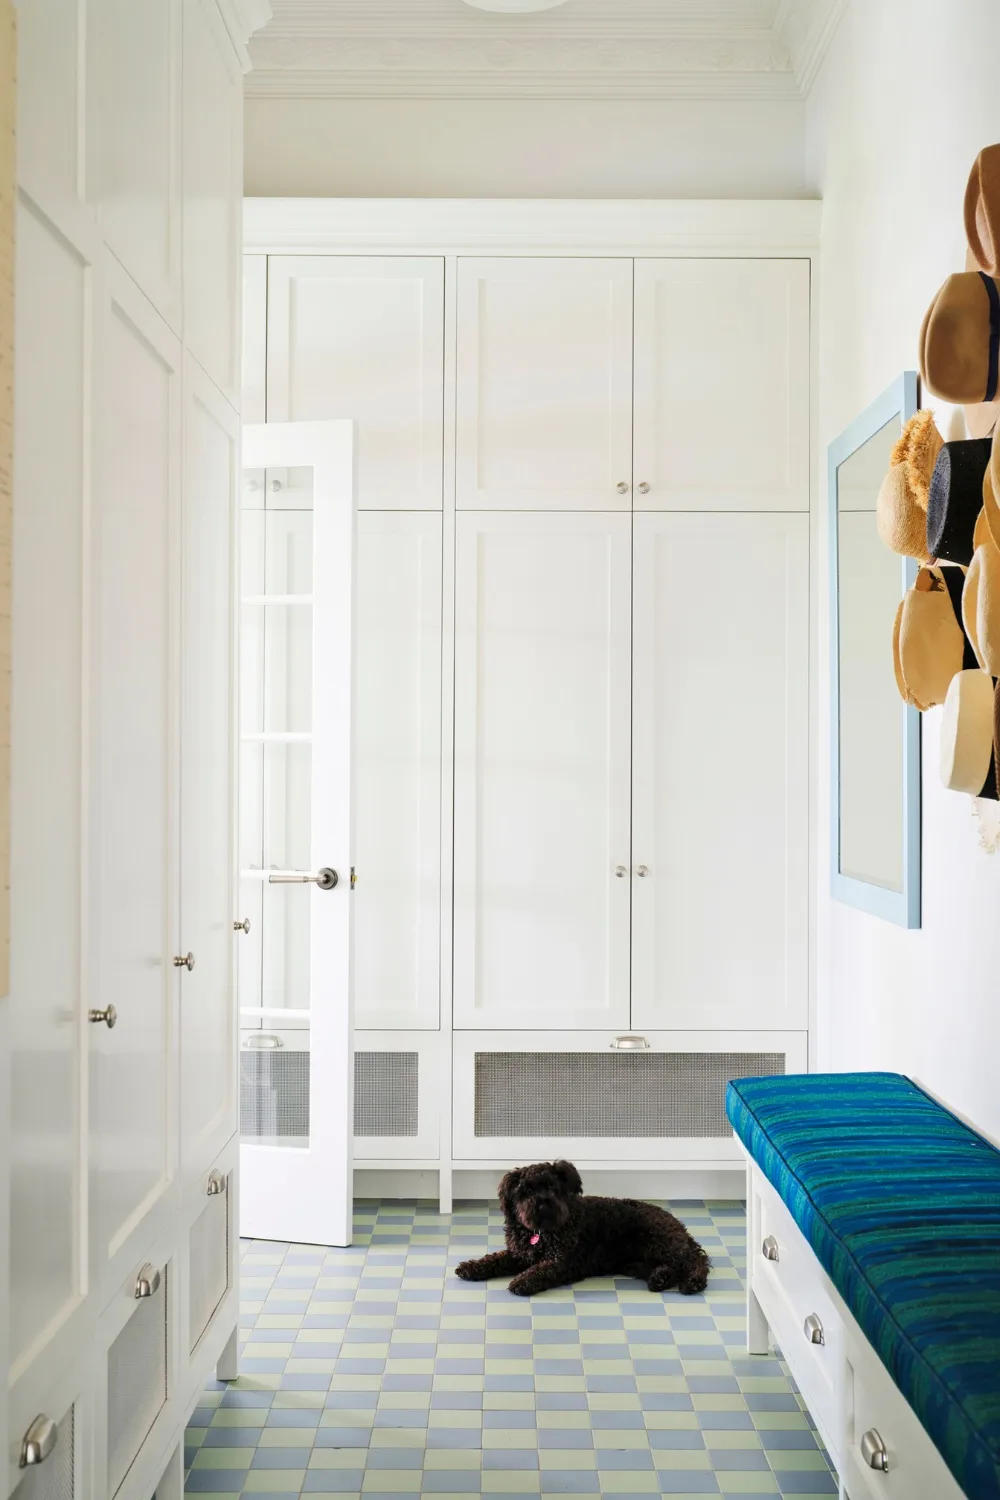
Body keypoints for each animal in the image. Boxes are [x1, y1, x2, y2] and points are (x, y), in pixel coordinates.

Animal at [452, 1164, 710, 1296]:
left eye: (551, 1186)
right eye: (526, 1190)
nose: (543, 1202)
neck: (541, 1233)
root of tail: (683, 1230)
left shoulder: (561, 1261)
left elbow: (540, 1270)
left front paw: (522, 1281)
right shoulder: (520, 1254)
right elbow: (494, 1259)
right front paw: (471, 1267)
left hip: (657, 1242)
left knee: (695, 1263)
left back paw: (692, 1283)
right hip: (640, 1258)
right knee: (673, 1266)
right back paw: (659, 1279)